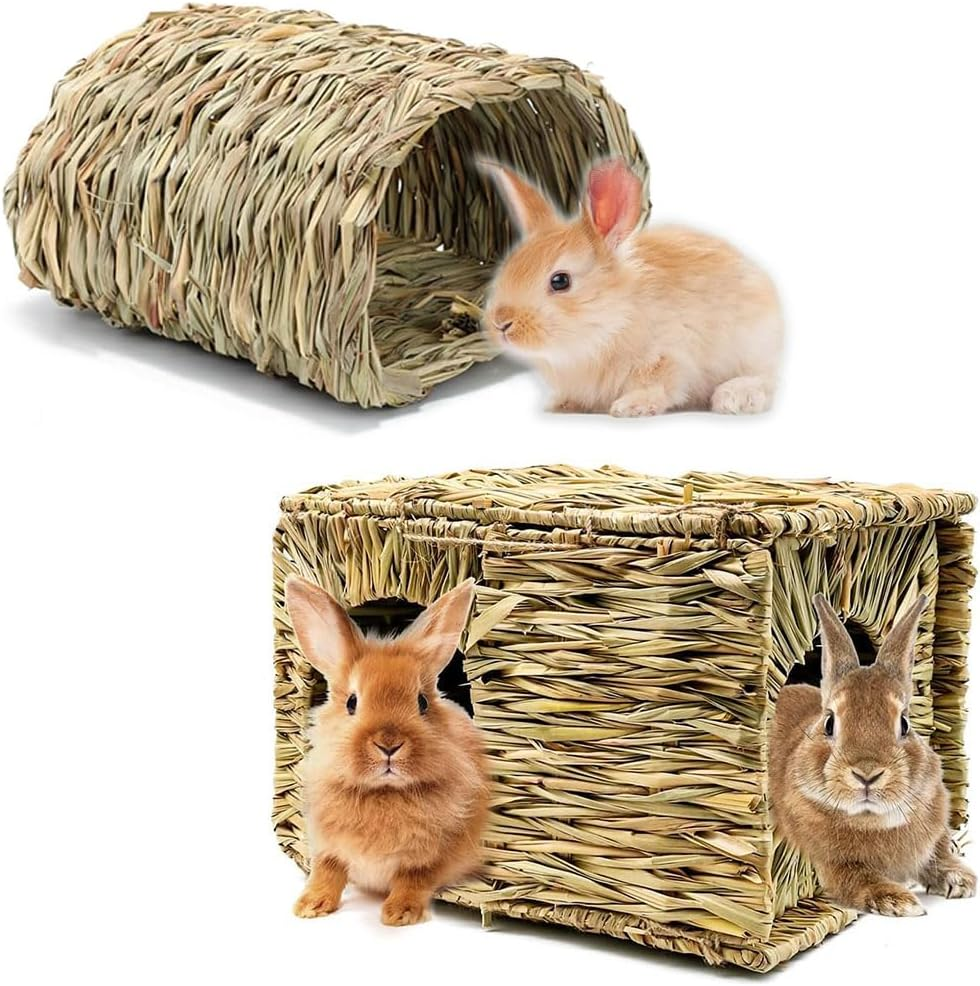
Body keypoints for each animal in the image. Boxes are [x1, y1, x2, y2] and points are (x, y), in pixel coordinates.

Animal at [283, 576, 489, 926]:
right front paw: (310, 906)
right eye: (352, 703)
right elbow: (327, 871)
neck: (383, 792)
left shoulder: (433, 857)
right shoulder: (327, 846)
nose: (389, 744)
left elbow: (413, 878)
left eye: (422, 702)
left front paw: (399, 913)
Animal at [480, 157, 783, 416]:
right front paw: (559, 403)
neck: (612, 320)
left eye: (560, 281)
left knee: (766, 381)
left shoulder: (667, 355)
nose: (501, 323)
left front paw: (631, 407)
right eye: (508, 266)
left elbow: (658, 384)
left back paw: (733, 397)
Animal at [770, 593, 976, 916]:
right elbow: (859, 880)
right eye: (829, 723)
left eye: (904, 723)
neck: (872, 820)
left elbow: (937, 855)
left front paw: (960, 880)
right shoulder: (834, 865)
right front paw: (901, 902)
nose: (867, 774)